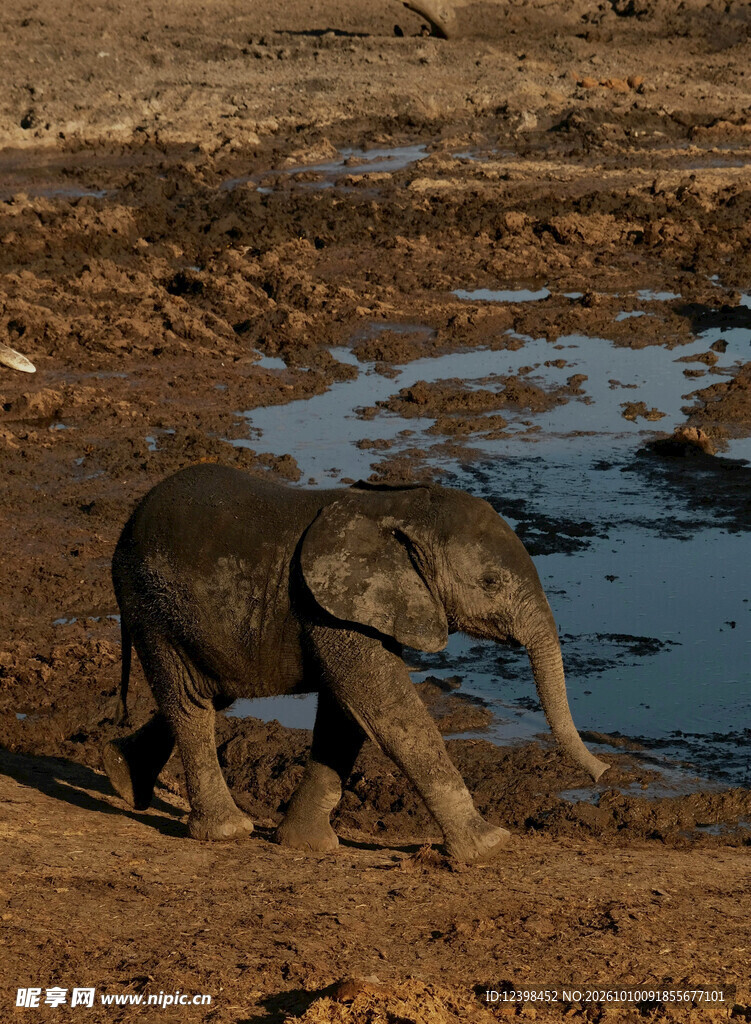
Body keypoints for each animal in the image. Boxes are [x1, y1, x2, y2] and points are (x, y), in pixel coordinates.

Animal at [103, 465, 608, 863]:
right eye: (489, 582)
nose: (605, 774)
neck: (401, 508)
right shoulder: (330, 606)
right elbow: (384, 708)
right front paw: (489, 846)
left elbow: (344, 716)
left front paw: (305, 845)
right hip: (153, 607)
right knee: (190, 703)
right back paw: (228, 832)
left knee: (210, 694)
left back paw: (120, 775)